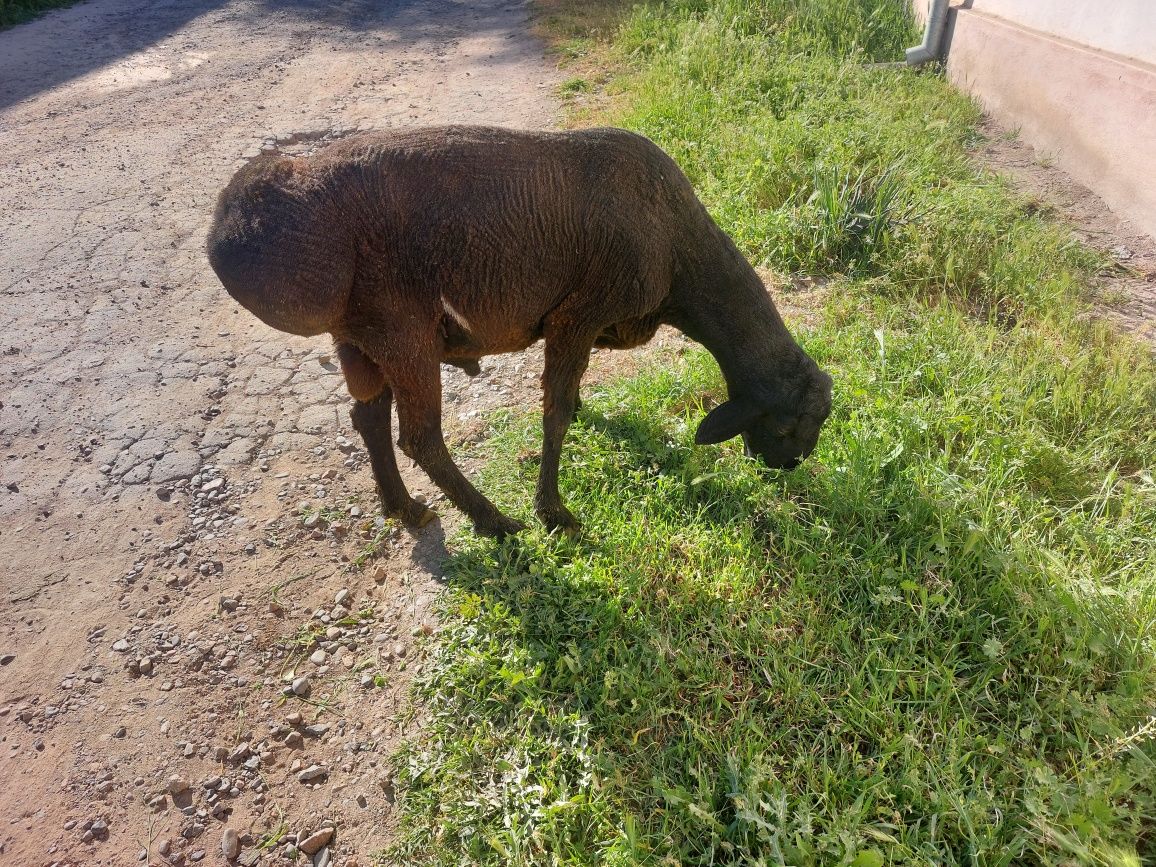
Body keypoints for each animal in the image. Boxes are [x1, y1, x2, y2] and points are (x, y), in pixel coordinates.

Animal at [205, 125, 832, 541]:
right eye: (791, 425)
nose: (788, 470)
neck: (681, 258)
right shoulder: (578, 313)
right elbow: (554, 413)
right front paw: (553, 512)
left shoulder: (582, 325)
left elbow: (570, 398)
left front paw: (583, 420)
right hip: (401, 329)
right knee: (422, 439)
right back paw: (493, 520)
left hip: (358, 335)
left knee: (369, 420)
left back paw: (404, 508)